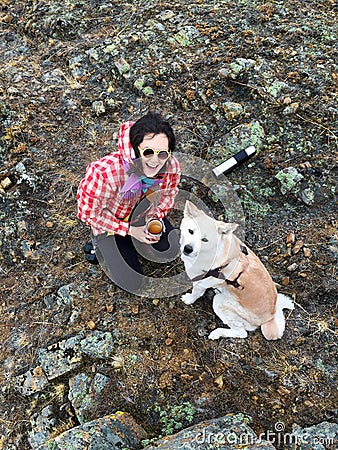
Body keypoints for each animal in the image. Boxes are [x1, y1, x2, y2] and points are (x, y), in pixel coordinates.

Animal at [180, 201, 294, 342]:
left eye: (205, 240)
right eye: (191, 231)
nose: (188, 248)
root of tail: (269, 318)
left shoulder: (202, 283)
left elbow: (196, 293)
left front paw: (189, 299)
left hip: (220, 302)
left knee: (241, 333)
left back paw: (217, 333)